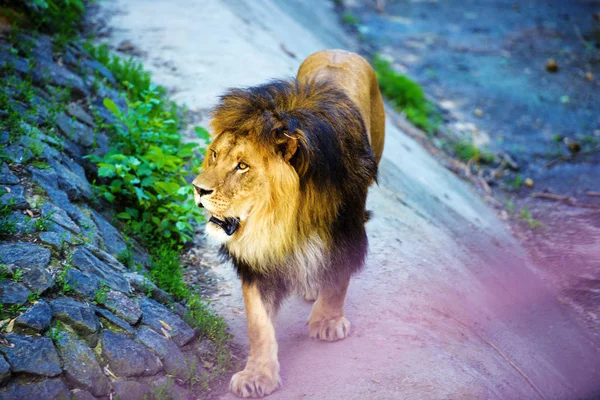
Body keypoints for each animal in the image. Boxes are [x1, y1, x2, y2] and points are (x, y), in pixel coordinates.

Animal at [195, 49, 386, 396]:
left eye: (242, 166)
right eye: (214, 154)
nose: (197, 189)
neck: (284, 217)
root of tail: (342, 51)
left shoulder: (345, 230)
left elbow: (338, 279)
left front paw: (327, 322)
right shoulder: (257, 259)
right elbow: (259, 324)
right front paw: (257, 376)